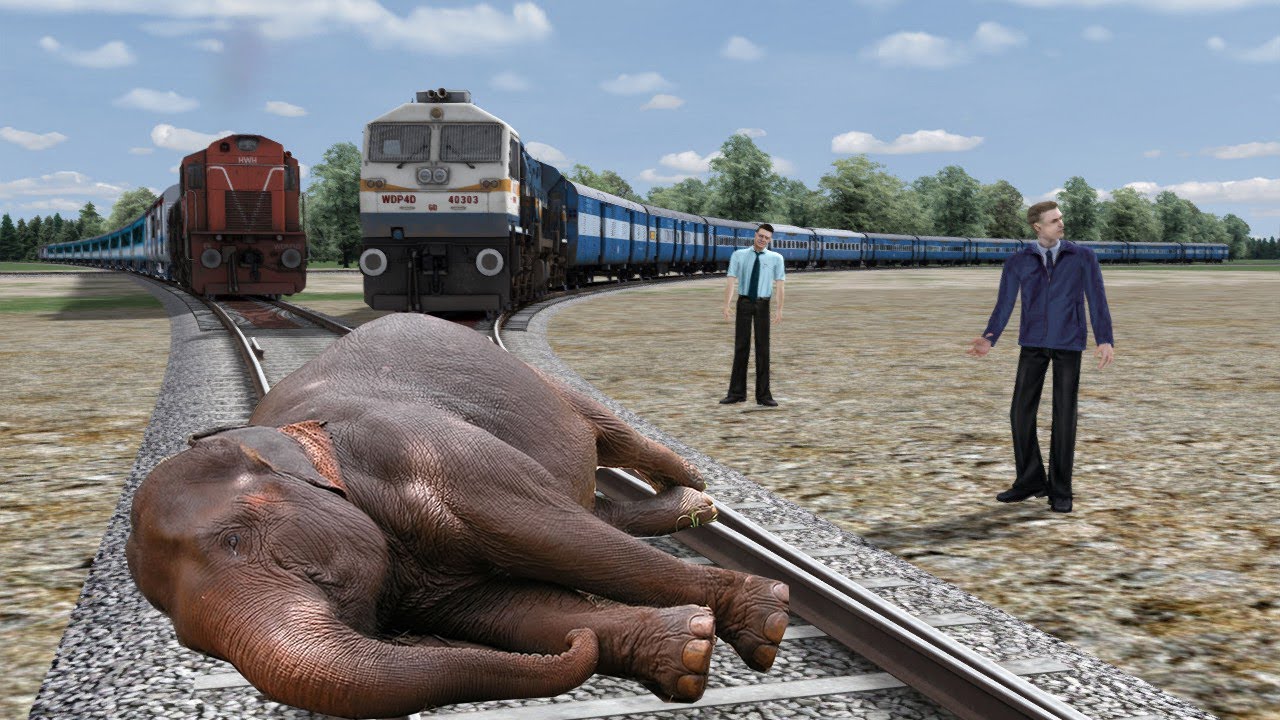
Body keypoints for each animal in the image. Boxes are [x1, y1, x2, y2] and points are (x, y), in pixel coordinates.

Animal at [127, 312, 790, 719]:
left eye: (236, 539)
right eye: (189, 642)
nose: (580, 646)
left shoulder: (427, 450)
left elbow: (559, 537)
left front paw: (768, 621)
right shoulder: (427, 581)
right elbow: (517, 610)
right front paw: (688, 652)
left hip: (541, 383)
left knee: (609, 448)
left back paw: (699, 495)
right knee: (597, 509)